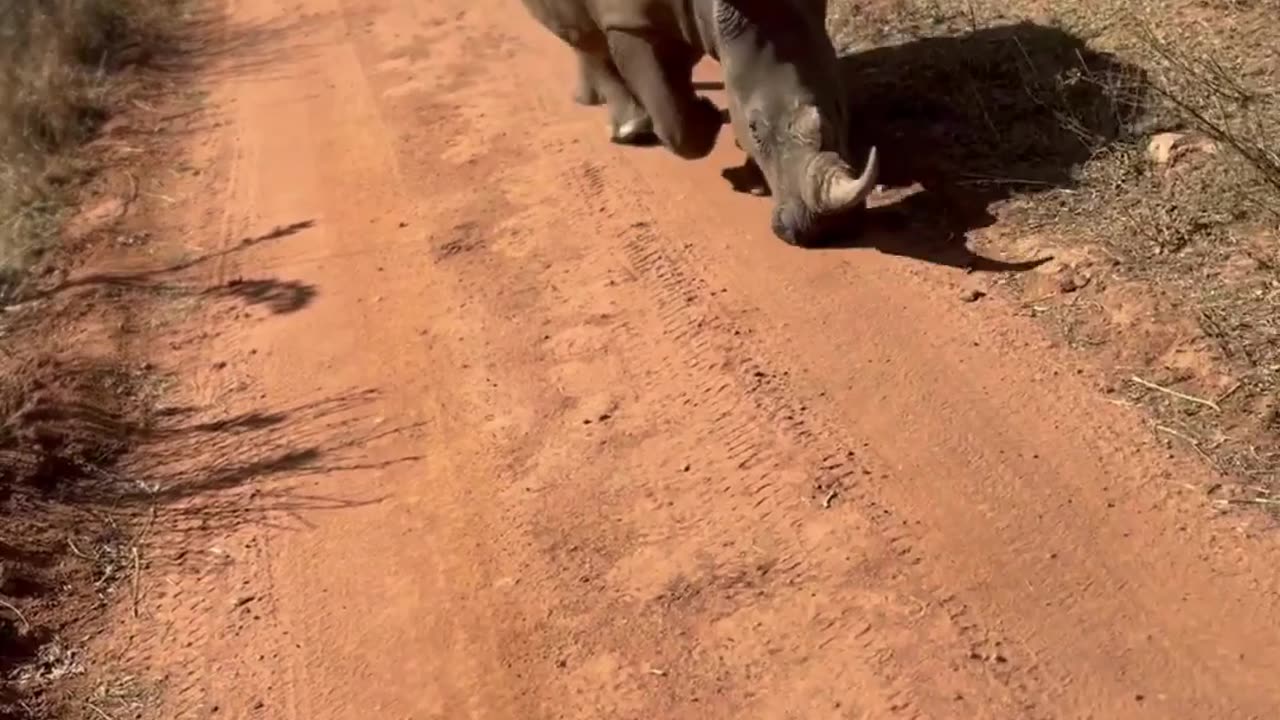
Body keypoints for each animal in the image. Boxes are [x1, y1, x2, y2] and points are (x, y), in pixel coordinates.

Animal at [519, 0, 880, 244]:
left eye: (839, 108)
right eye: (754, 129)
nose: (826, 228)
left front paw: (751, 176)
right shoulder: (629, 21)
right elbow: (677, 126)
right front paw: (709, 119)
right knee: (585, 39)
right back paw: (628, 128)